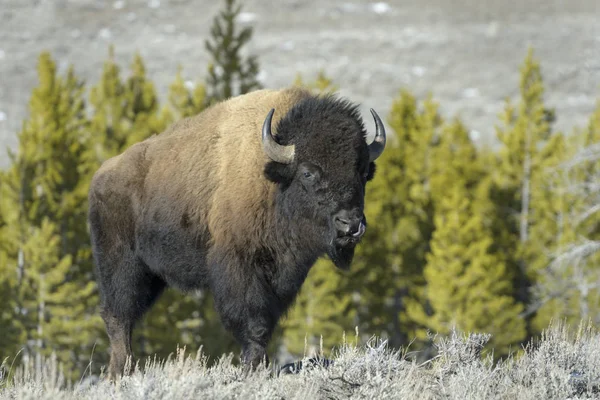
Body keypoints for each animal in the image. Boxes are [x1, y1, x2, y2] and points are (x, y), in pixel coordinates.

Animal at [89, 86, 390, 378]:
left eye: (363, 172)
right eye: (307, 172)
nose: (350, 224)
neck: (273, 180)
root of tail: (101, 176)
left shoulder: (283, 276)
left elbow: (266, 322)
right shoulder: (240, 267)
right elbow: (254, 323)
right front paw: (254, 368)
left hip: (152, 276)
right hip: (122, 264)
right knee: (119, 314)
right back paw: (120, 372)